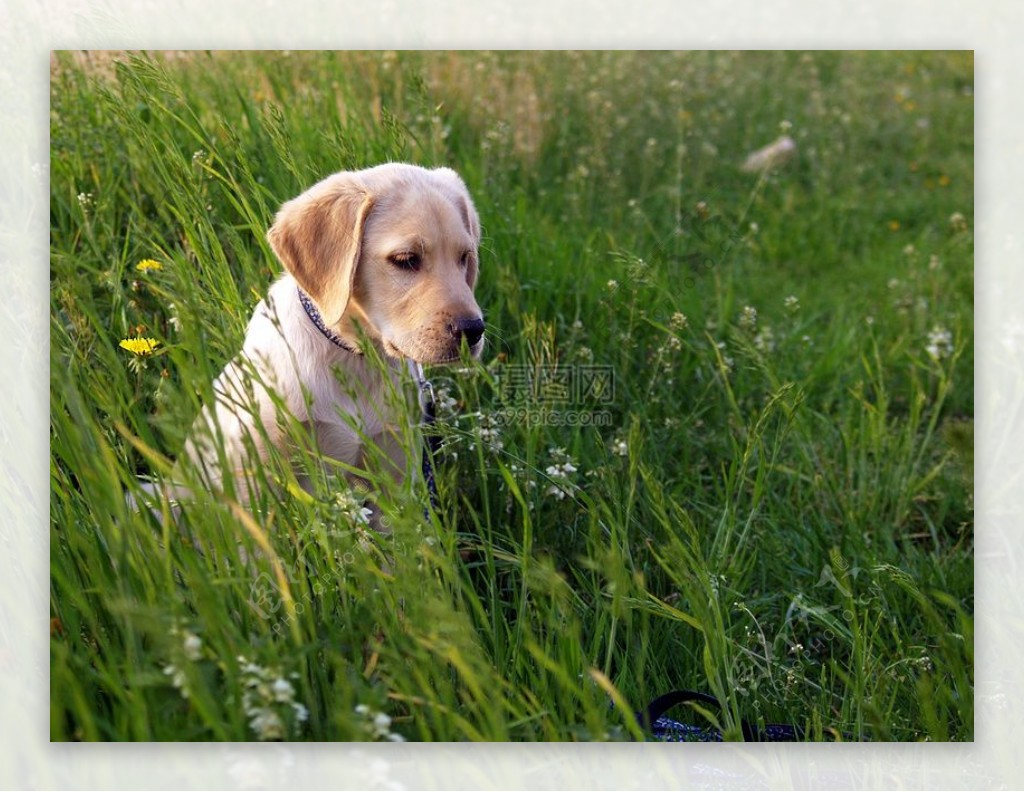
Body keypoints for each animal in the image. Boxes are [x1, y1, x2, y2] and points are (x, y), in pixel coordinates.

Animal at [180, 163, 483, 504]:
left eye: (464, 257)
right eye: (406, 260)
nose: (473, 330)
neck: (355, 358)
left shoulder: (397, 474)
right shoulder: (254, 473)